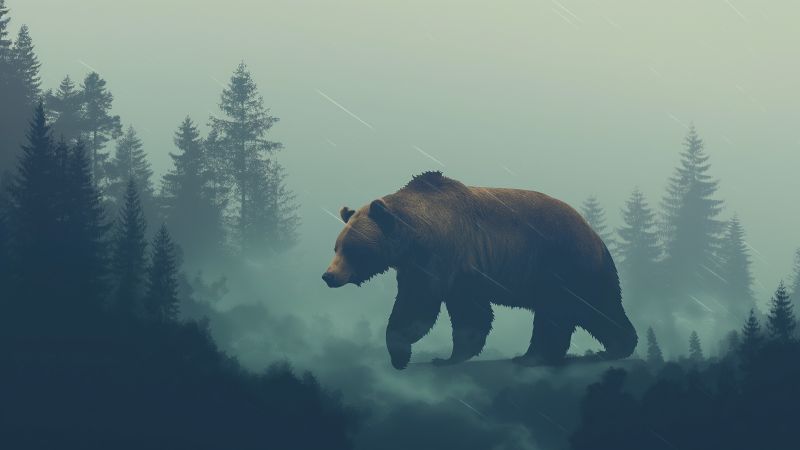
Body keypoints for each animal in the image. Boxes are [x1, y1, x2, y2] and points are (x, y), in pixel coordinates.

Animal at [322, 171, 638, 370]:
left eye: (352, 249)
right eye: (336, 247)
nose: (328, 276)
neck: (415, 233)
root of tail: (595, 235)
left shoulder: (441, 255)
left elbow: (418, 304)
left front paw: (401, 353)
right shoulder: (462, 272)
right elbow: (470, 314)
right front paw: (451, 356)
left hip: (562, 264)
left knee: (582, 308)